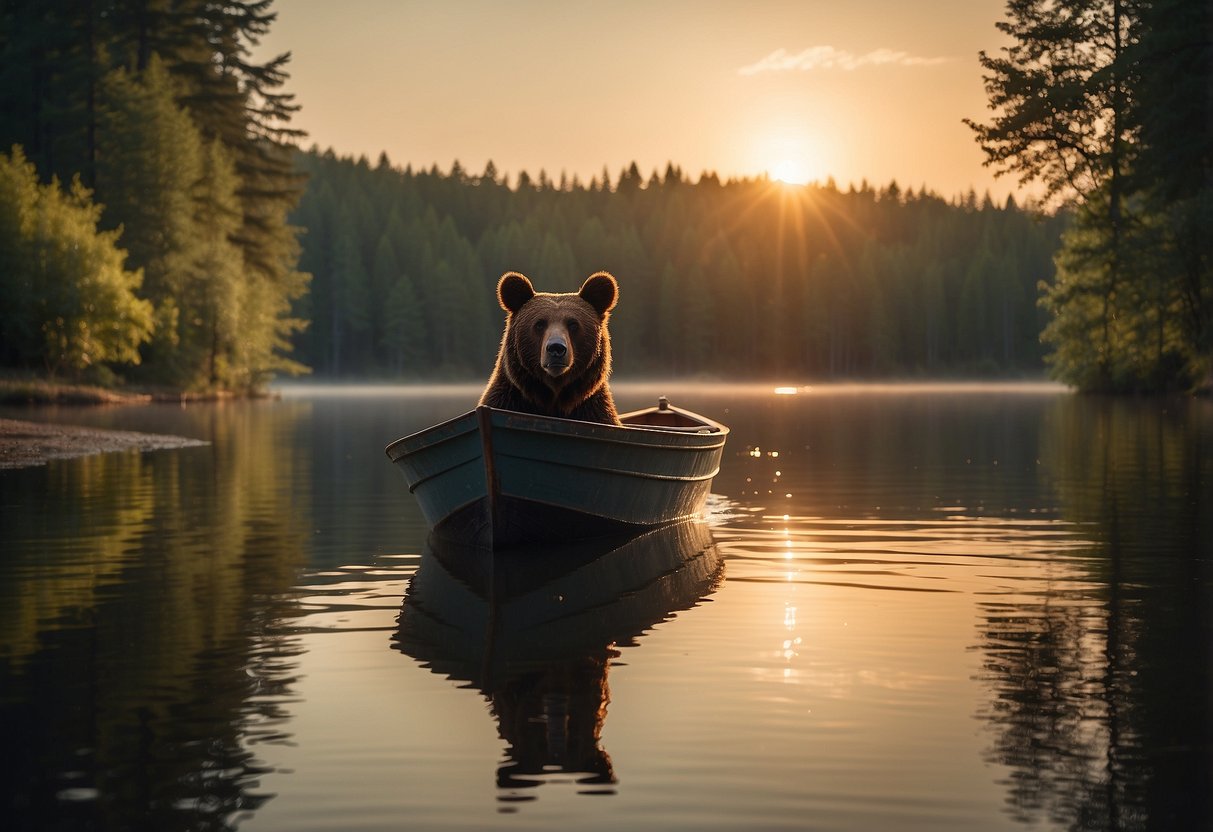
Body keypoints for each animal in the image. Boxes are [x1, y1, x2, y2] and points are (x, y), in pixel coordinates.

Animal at [477, 271, 621, 426]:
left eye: (573, 324)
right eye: (539, 324)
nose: (556, 348)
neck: (553, 397)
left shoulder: (593, 411)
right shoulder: (507, 400)